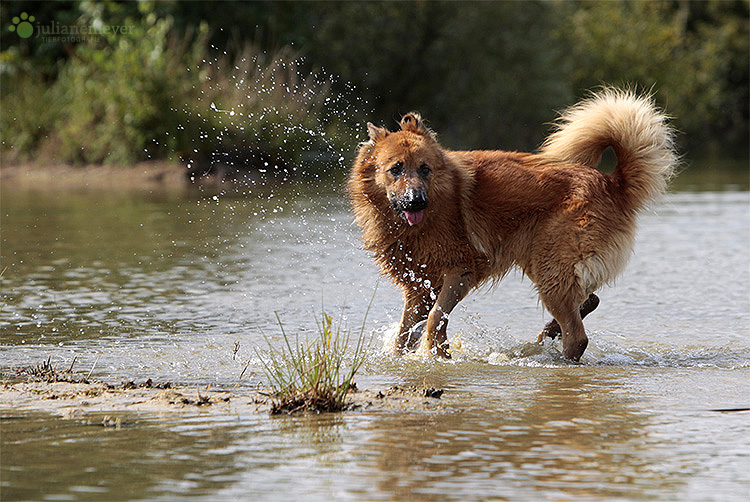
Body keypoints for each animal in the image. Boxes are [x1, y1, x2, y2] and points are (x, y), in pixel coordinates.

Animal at [350, 87, 680, 360]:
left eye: (425, 169)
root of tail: (613, 182)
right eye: (395, 169)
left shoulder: (460, 271)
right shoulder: (419, 287)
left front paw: (438, 355)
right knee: (589, 300)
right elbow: (405, 335)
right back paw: (547, 334)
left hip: (550, 269)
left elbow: (434, 319)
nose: (416, 201)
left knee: (578, 336)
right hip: (543, 263)